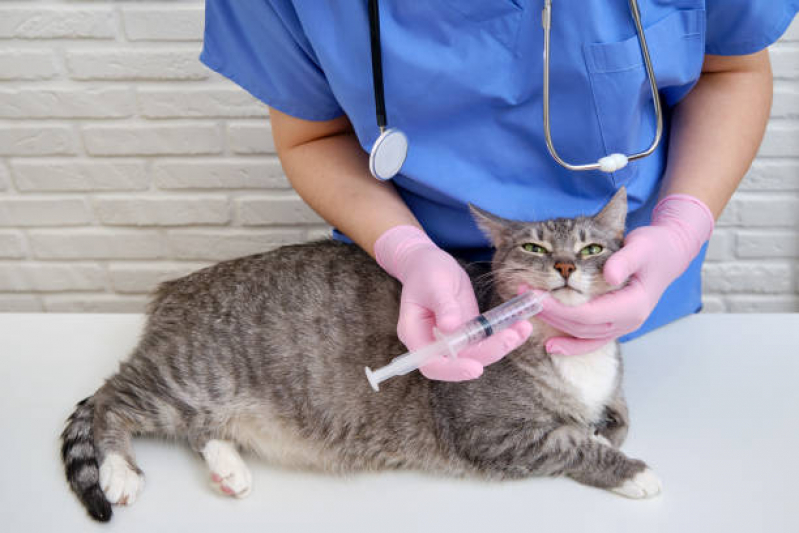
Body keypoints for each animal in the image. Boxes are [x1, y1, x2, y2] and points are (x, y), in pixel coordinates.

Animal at [61, 185, 664, 520]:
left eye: (593, 247)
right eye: (534, 248)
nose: (564, 266)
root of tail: (175, 287)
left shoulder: (609, 397)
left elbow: (614, 420)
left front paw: (601, 431)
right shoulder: (490, 434)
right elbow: (571, 444)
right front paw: (631, 471)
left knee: (198, 428)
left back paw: (228, 465)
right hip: (187, 376)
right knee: (111, 400)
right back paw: (119, 470)